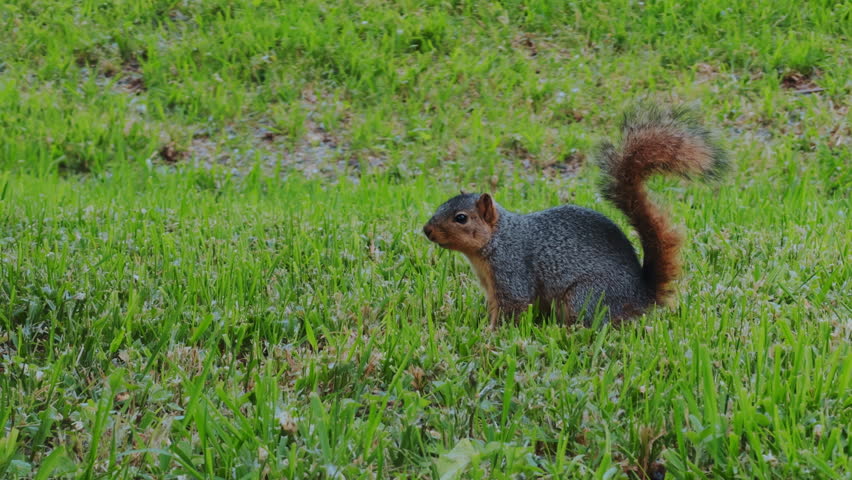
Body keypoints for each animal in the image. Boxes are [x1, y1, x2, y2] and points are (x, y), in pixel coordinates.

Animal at [423, 104, 727, 327]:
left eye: (461, 218)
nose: (427, 230)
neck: (497, 240)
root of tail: (641, 296)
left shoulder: (513, 271)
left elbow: (513, 306)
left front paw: (491, 336)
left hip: (585, 296)